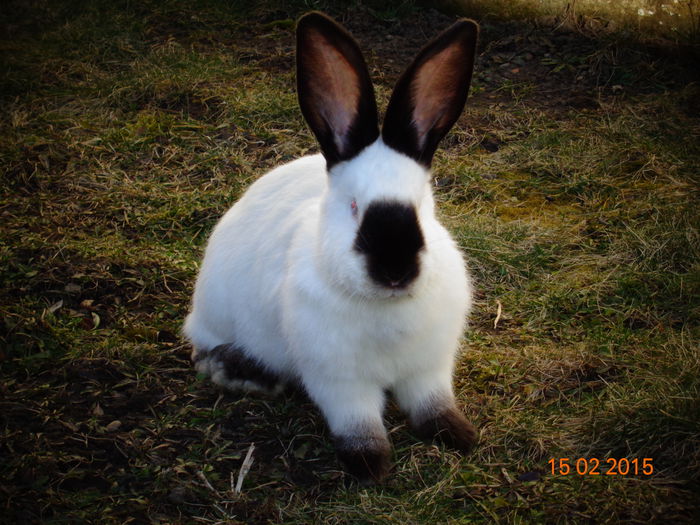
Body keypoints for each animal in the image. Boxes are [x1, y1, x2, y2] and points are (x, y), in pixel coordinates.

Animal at [185, 9, 482, 484]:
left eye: (422, 208)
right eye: (354, 207)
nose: (395, 270)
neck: (386, 308)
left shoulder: (429, 368)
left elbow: (432, 404)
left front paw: (458, 434)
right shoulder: (340, 382)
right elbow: (357, 421)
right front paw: (370, 465)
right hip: (221, 318)